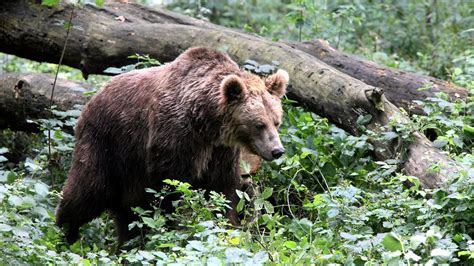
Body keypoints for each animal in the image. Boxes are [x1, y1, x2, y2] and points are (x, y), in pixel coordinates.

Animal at [57, 46, 288, 244]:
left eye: (276, 121)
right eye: (259, 124)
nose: (277, 151)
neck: (205, 123)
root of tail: (93, 98)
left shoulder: (220, 152)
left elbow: (221, 190)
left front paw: (226, 226)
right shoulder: (175, 136)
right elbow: (169, 187)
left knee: (127, 212)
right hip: (107, 143)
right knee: (88, 190)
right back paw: (65, 232)